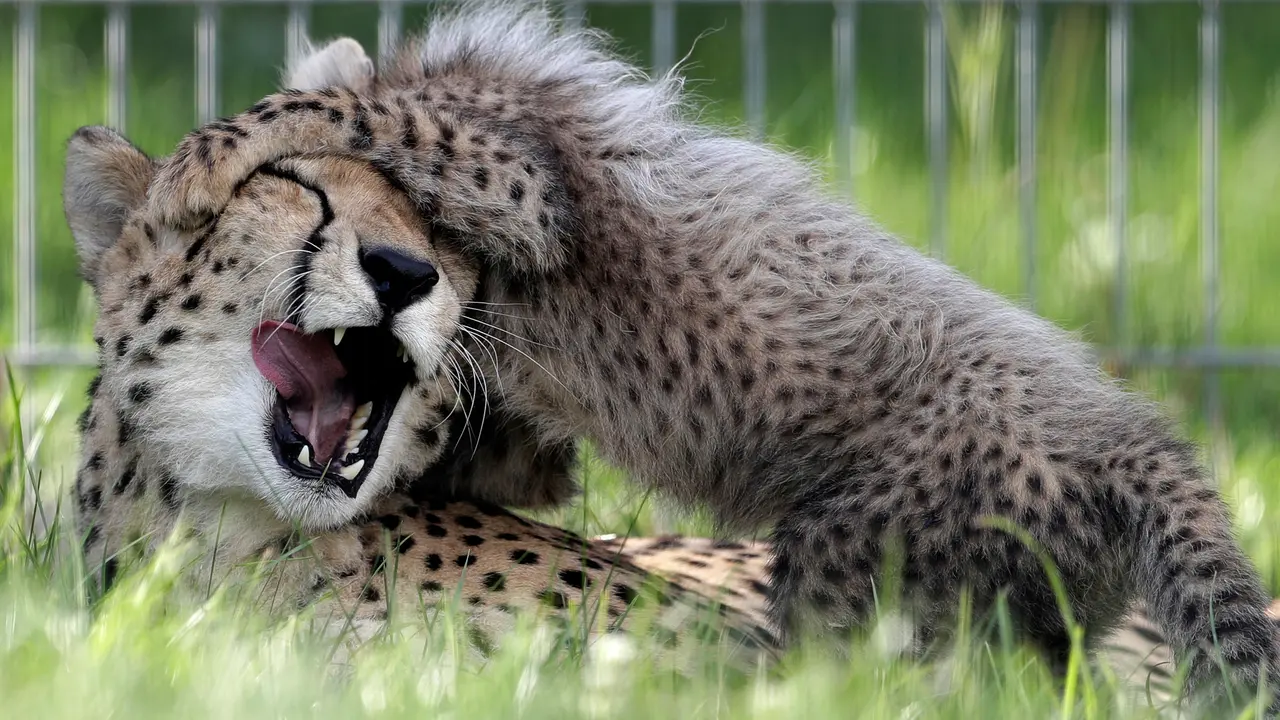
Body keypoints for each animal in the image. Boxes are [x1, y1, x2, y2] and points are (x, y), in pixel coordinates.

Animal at [70, 1, 1280, 713]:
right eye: (304, 203)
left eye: (433, 238)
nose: (406, 274)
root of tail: (1134, 440)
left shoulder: (518, 166)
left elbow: (329, 106)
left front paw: (206, 157)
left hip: (863, 563)